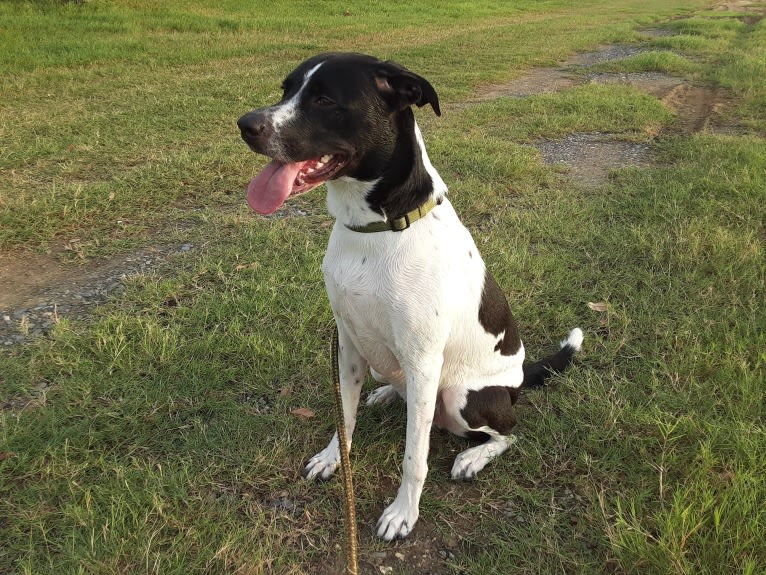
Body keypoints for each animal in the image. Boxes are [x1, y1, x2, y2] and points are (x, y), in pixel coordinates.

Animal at [237, 53, 584, 540]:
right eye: (286, 89)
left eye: (325, 100)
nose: (245, 124)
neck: (377, 230)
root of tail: (517, 381)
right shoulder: (348, 345)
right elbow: (344, 417)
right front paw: (333, 458)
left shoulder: (422, 361)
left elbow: (413, 457)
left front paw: (404, 512)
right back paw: (386, 393)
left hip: (460, 396)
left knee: (508, 433)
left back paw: (473, 456)